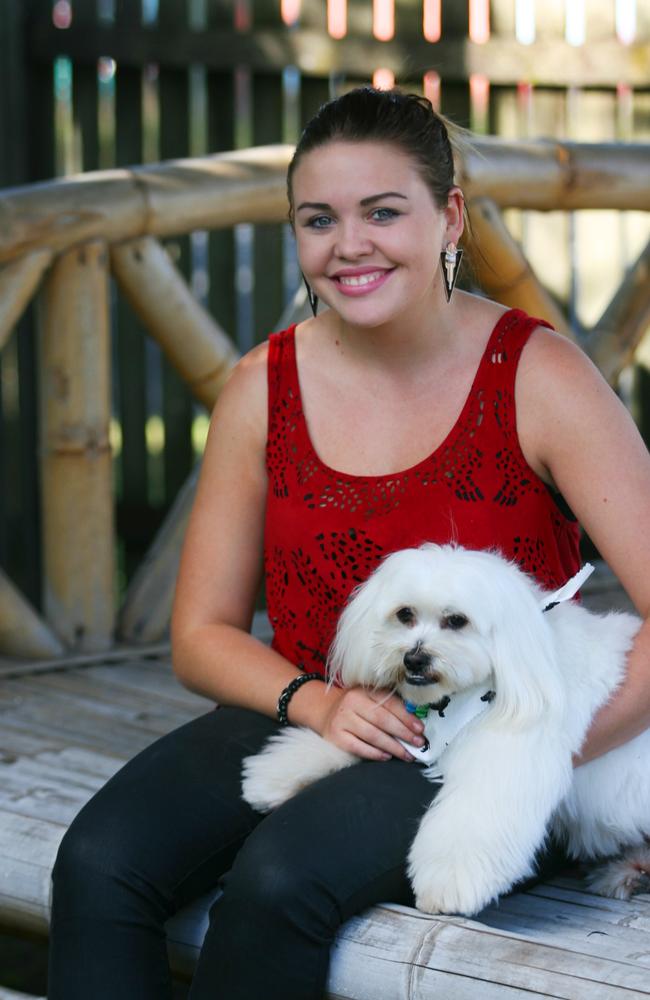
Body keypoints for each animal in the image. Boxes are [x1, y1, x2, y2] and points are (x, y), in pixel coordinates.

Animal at [242, 548, 648, 916]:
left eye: (456, 620)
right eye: (404, 614)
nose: (414, 658)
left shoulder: (509, 757)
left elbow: (470, 816)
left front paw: (448, 883)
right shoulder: (403, 730)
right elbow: (349, 735)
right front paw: (277, 774)